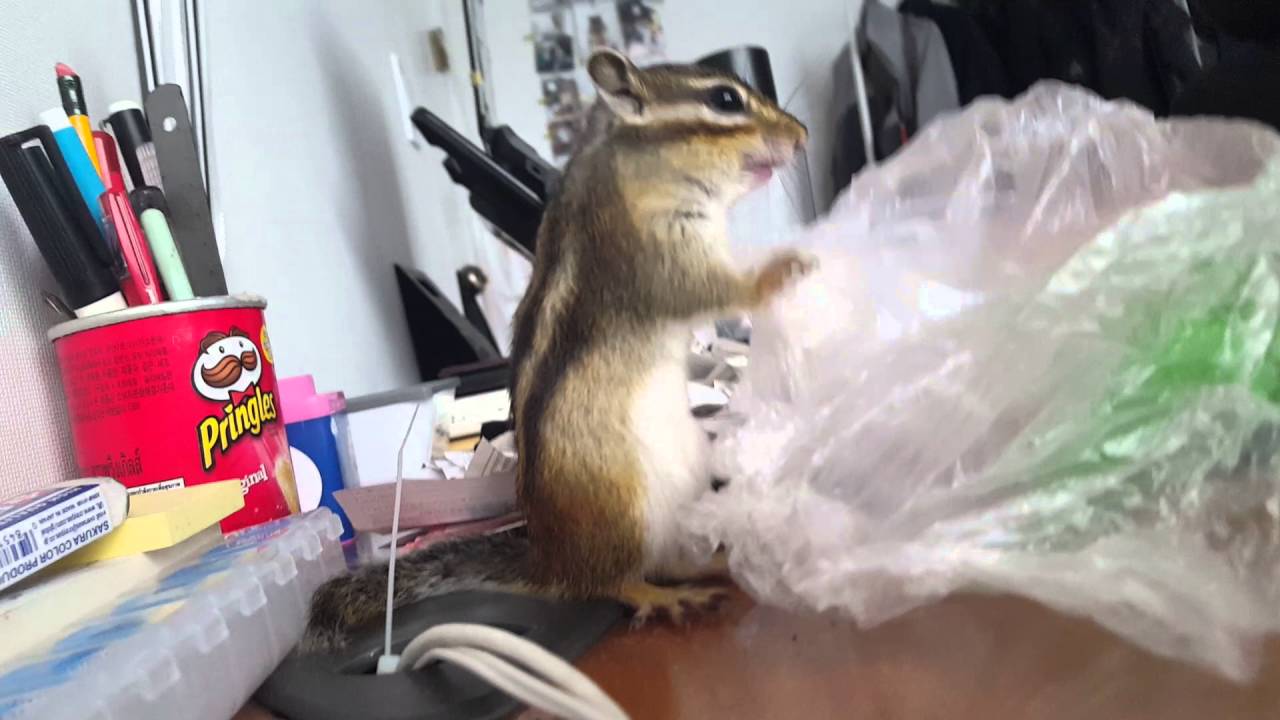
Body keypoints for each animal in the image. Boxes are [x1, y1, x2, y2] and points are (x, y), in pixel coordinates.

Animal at [302, 48, 811, 651]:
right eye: (726, 99)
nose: (802, 135)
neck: (631, 165)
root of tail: (551, 563)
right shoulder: (652, 255)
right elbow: (709, 291)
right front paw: (786, 268)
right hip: (623, 513)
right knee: (617, 580)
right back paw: (664, 598)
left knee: (668, 562)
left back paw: (717, 564)